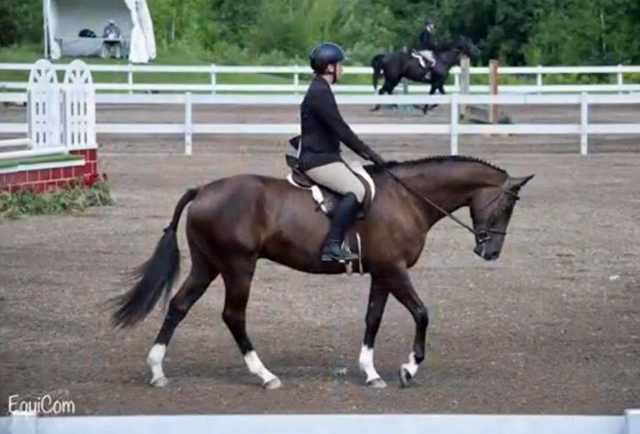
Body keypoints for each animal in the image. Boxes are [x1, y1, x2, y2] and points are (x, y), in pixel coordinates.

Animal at [112, 156, 532, 390]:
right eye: (507, 205)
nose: (491, 252)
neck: (407, 198)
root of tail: (201, 190)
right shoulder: (394, 270)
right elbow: (422, 312)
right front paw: (408, 369)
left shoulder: (381, 274)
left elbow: (373, 319)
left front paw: (371, 373)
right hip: (237, 266)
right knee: (233, 316)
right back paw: (264, 375)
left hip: (207, 264)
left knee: (179, 306)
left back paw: (157, 371)